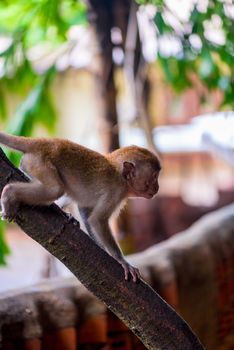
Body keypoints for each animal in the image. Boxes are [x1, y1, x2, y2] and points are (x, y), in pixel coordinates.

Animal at [0, 131, 161, 282]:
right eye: (153, 178)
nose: (157, 188)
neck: (120, 176)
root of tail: (42, 142)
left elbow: (86, 212)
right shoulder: (115, 192)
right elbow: (97, 220)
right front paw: (121, 260)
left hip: (31, 163)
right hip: (39, 163)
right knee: (55, 190)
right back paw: (9, 193)